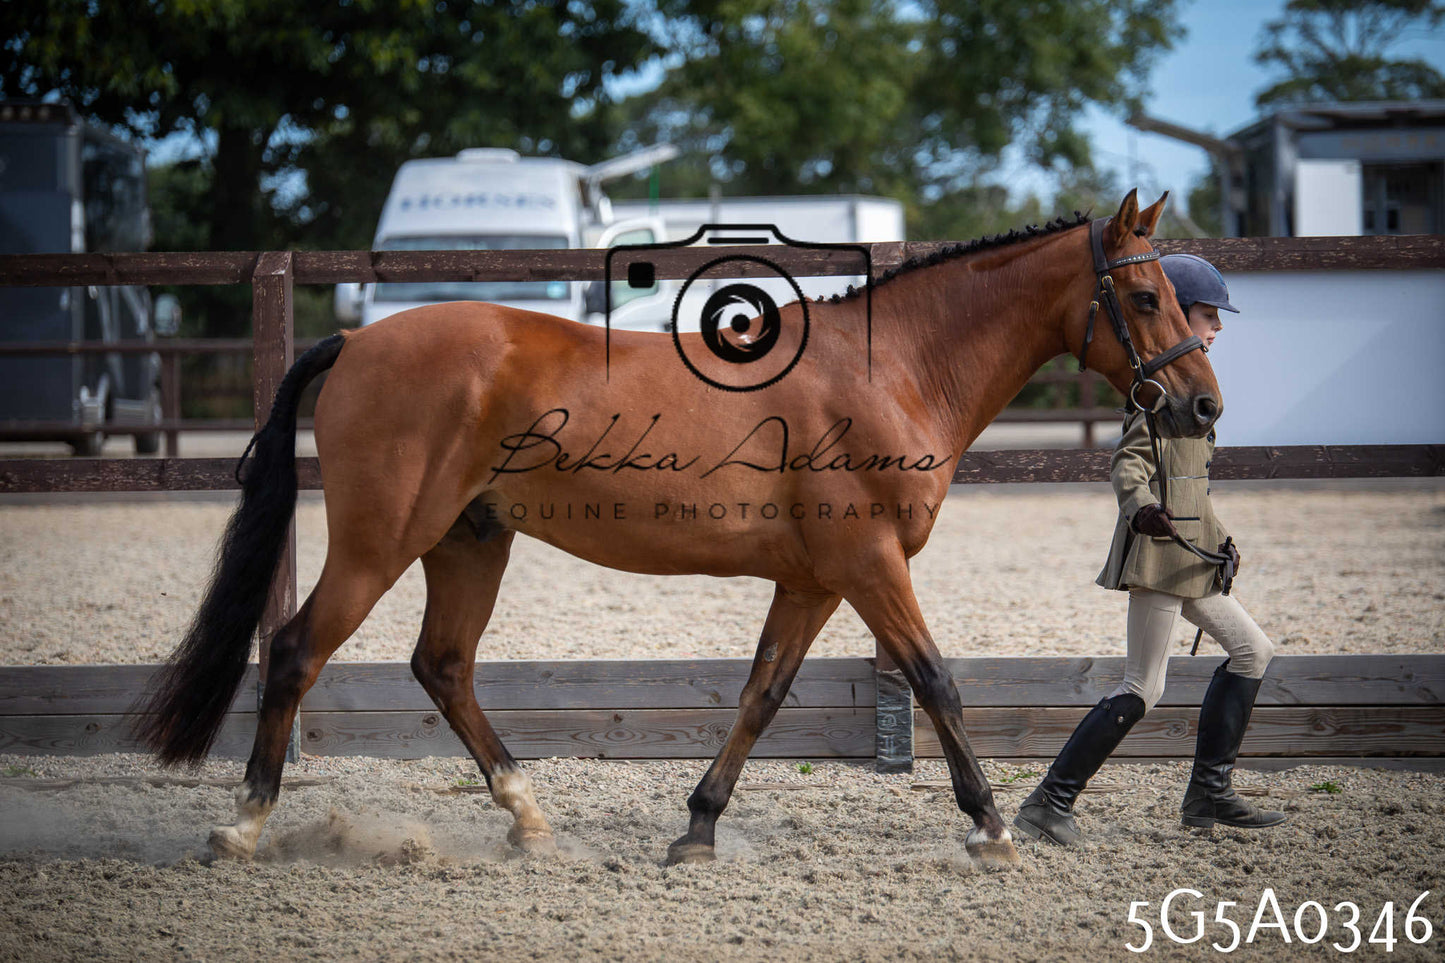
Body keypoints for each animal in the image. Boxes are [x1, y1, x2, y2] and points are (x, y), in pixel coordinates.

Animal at [134, 190, 1220, 869]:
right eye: (1142, 294)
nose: (1201, 407)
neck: (890, 369)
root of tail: (360, 338)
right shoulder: (868, 565)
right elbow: (934, 681)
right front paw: (991, 828)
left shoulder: (814, 580)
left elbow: (761, 694)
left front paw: (696, 828)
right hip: (380, 540)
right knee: (293, 651)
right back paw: (243, 827)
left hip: (469, 541)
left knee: (442, 666)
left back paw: (529, 820)